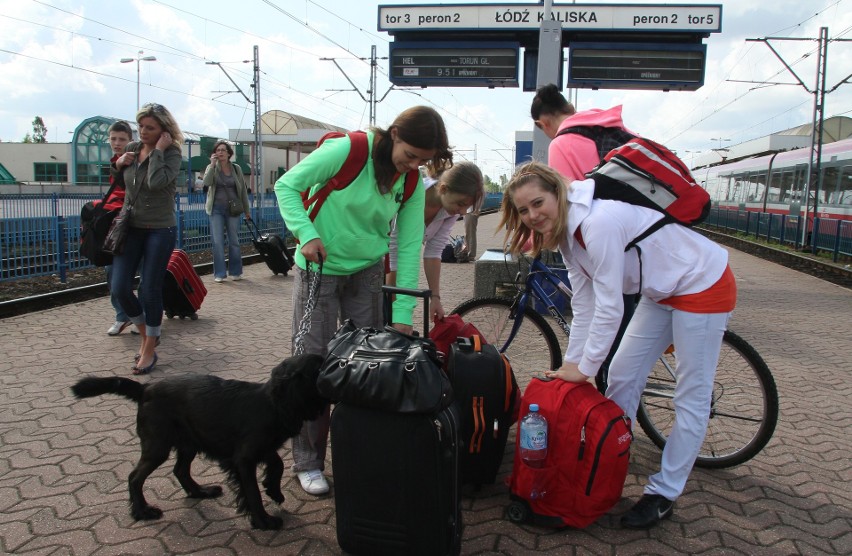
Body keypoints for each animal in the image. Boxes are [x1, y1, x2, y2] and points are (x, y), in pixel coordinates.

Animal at [70, 352, 326, 528]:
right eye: (320, 367)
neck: (271, 404)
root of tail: (146, 388)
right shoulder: (243, 459)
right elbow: (252, 492)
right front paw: (264, 521)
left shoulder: (262, 449)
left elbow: (278, 464)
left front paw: (273, 490)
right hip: (158, 446)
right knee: (135, 477)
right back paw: (143, 511)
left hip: (188, 443)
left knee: (180, 470)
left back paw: (200, 491)